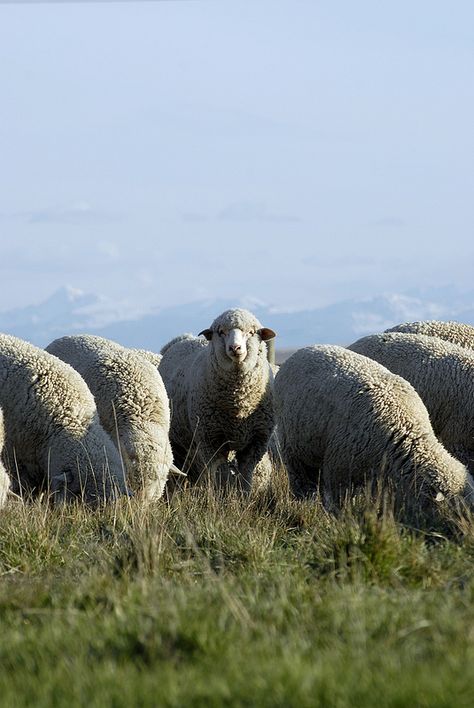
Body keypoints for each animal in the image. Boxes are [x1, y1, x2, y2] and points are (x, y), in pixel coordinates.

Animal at [159, 310, 276, 492]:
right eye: (221, 332)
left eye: (251, 332)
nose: (235, 348)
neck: (238, 403)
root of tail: (182, 339)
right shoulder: (212, 441)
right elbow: (222, 474)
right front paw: (223, 495)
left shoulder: (256, 442)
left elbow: (246, 475)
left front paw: (245, 495)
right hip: (177, 438)